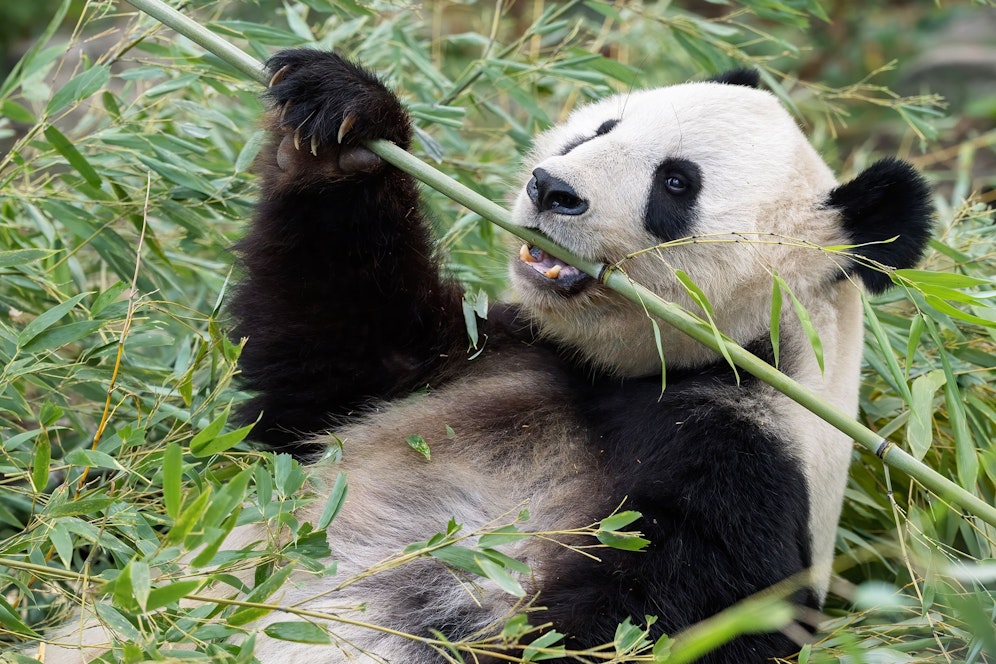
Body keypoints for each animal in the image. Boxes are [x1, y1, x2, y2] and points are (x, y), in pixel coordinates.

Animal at [42, 49, 932, 660]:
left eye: (676, 185)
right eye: (603, 127)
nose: (551, 188)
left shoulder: (745, 476)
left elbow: (634, 626)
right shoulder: (489, 352)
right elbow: (319, 369)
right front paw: (343, 117)